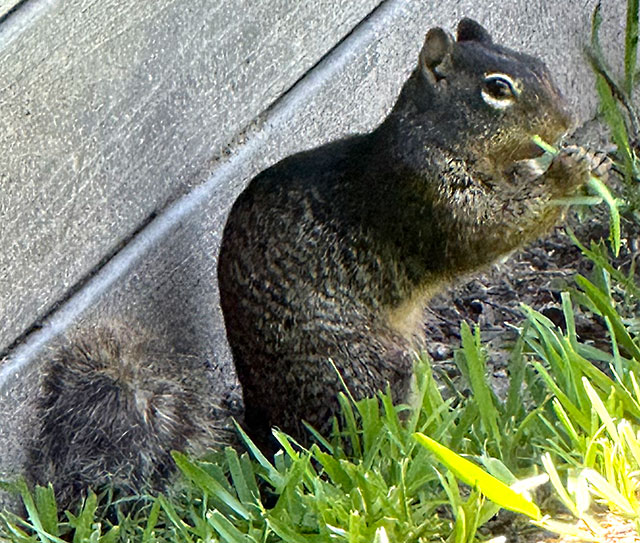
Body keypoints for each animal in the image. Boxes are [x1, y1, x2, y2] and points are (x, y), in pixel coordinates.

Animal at [217, 18, 608, 450]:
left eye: (538, 63)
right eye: (497, 88)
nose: (567, 120)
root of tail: (262, 423)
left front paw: (594, 165)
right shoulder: (425, 193)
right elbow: (489, 231)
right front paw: (567, 173)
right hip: (360, 369)